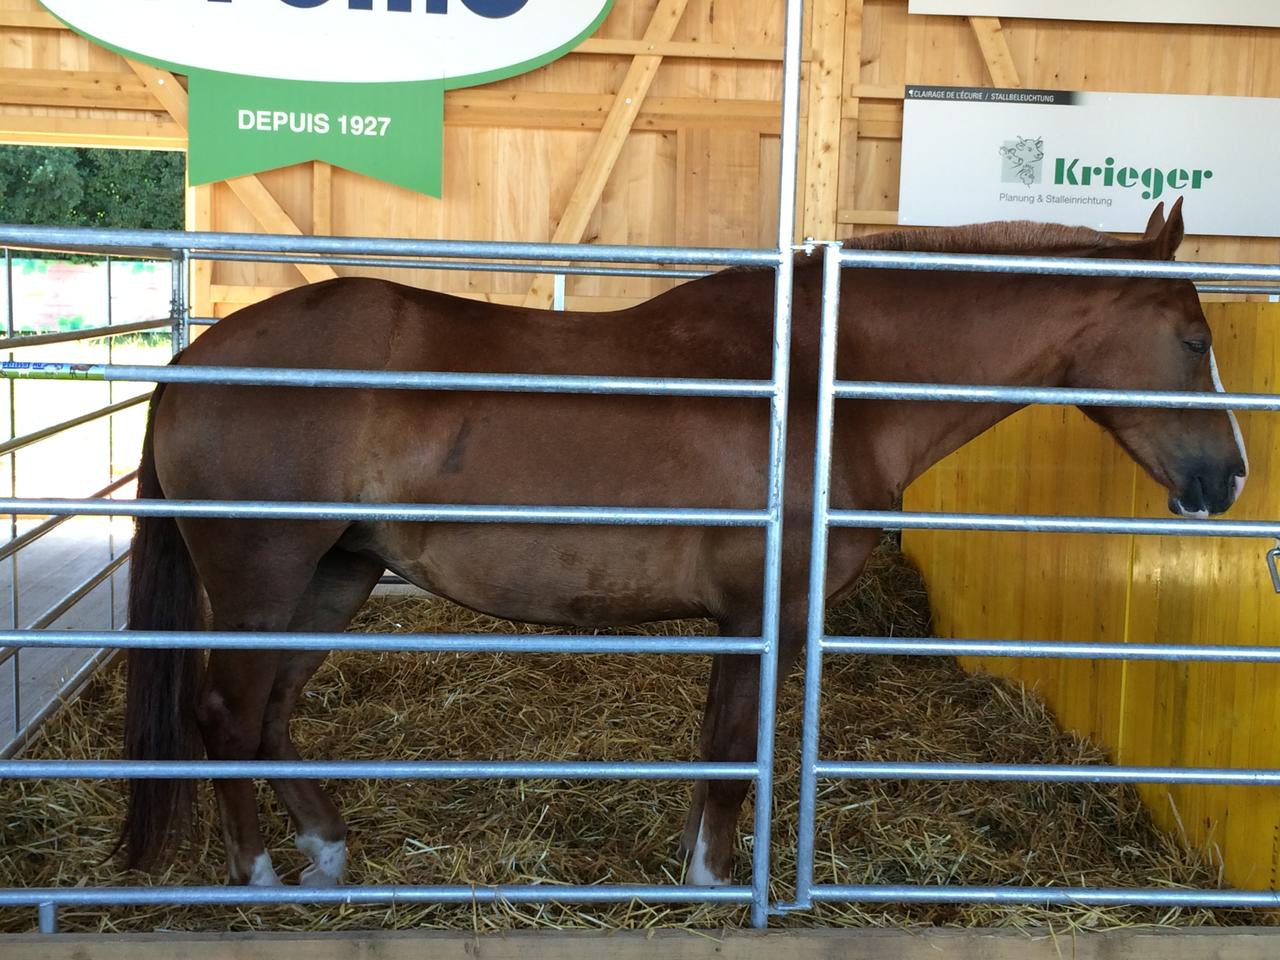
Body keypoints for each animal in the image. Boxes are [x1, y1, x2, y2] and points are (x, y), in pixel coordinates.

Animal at [124, 199, 1244, 890]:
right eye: (1193, 342)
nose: (1226, 479)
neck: (822, 378)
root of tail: (194, 361)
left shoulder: (741, 620)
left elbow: (718, 746)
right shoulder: (765, 612)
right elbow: (732, 753)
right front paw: (716, 881)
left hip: (337, 573)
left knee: (271, 712)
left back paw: (326, 852)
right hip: (265, 577)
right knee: (225, 713)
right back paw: (259, 876)